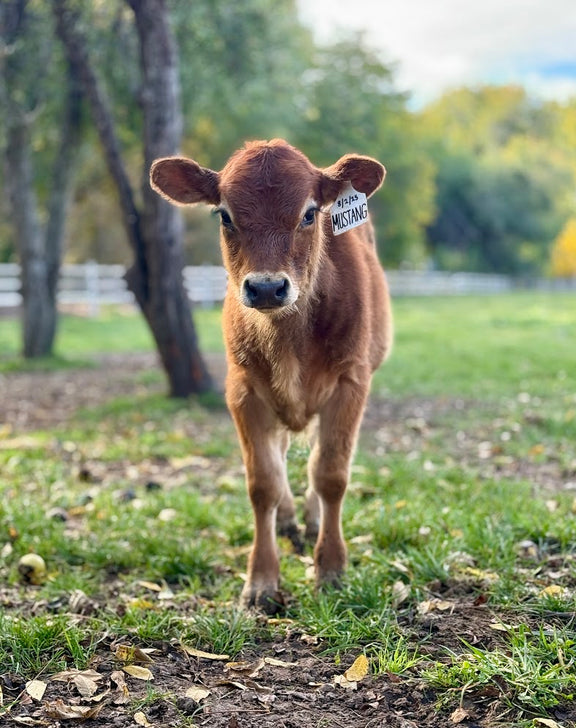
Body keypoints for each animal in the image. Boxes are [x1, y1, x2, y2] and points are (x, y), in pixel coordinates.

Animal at [150, 139, 392, 612]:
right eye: (224, 215)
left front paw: (331, 568)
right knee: (279, 463)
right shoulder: (243, 391)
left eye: (310, 213)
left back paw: (311, 519)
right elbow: (262, 482)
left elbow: (331, 473)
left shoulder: (351, 383)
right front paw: (261, 579)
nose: (265, 287)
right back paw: (287, 519)